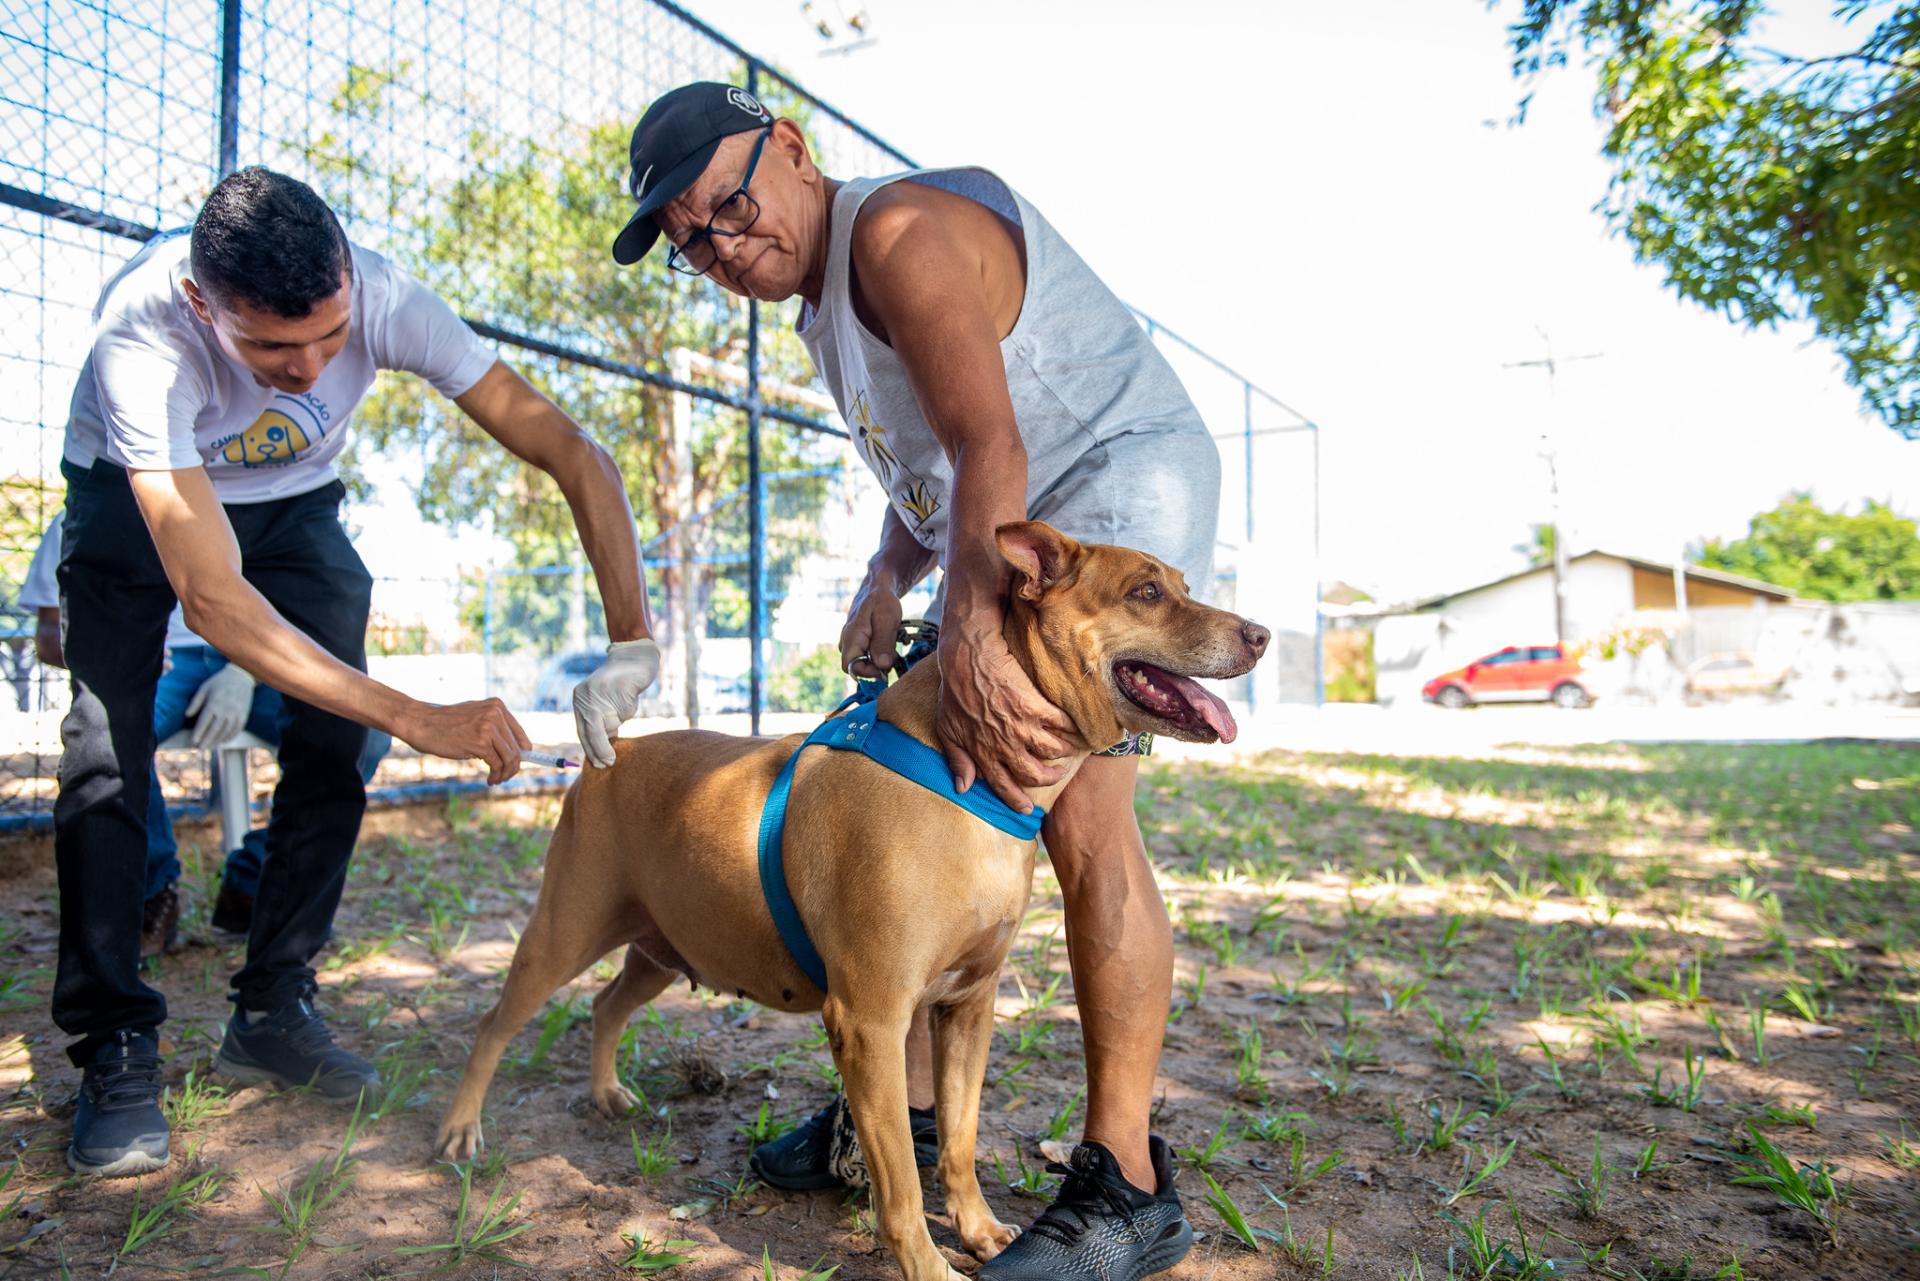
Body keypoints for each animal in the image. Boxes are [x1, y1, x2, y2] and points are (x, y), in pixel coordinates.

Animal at [439, 522, 1267, 1281]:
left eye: (1181, 584)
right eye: (1146, 592)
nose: (1259, 634)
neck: (960, 772)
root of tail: (612, 754)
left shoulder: (966, 1007)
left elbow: (957, 1140)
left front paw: (979, 1230)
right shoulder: (870, 1020)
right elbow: (900, 1181)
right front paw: (927, 1265)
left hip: (662, 947)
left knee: (606, 1004)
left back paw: (606, 1090)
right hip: (562, 934)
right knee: (492, 1023)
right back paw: (459, 1129)